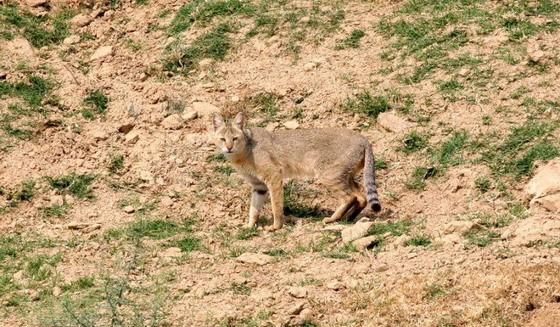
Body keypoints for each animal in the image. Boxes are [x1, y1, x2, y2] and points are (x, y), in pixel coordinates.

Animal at [212, 113, 382, 233]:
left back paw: (333, 219)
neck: (244, 151)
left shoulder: (274, 177)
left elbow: (276, 205)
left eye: (235, 138)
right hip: (346, 177)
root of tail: (363, 138)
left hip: (329, 176)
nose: (228, 148)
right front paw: (249, 226)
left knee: (350, 197)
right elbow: (253, 209)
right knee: (361, 196)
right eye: (222, 139)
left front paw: (276, 226)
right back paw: (349, 218)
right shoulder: (259, 186)